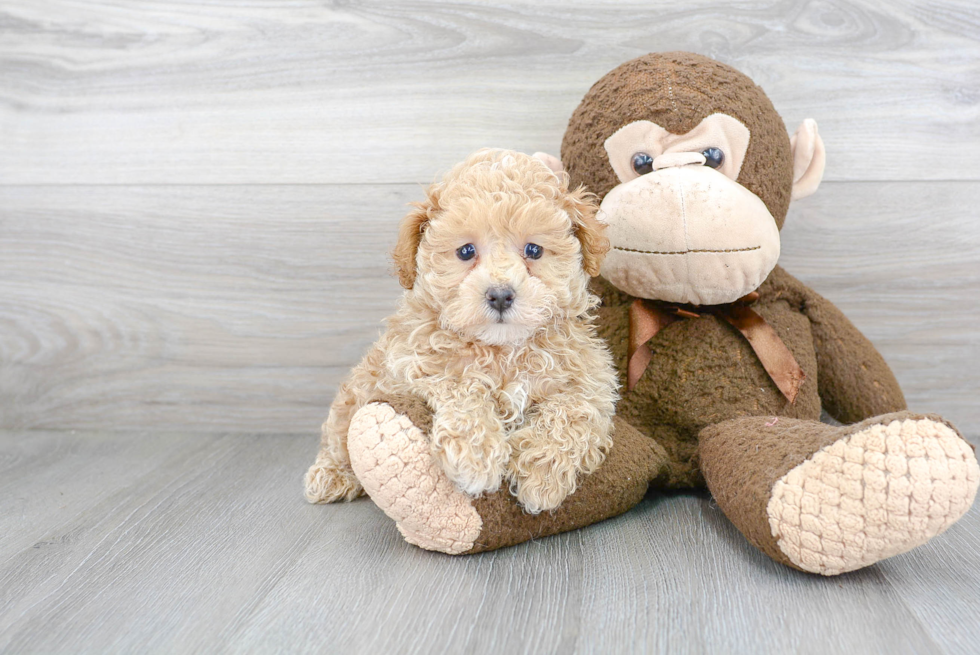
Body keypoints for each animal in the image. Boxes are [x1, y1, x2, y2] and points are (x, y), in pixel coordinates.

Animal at [302, 151, 616, 516]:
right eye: (466, 251)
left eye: (534, 251)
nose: (500, 295)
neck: (503, 350)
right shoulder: (415, 362)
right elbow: (462, 386)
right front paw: (476, 456)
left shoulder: (591, 379)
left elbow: (573, 410)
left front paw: (541, 475)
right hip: (356, 394)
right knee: (339, 437)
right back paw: (331, 475)